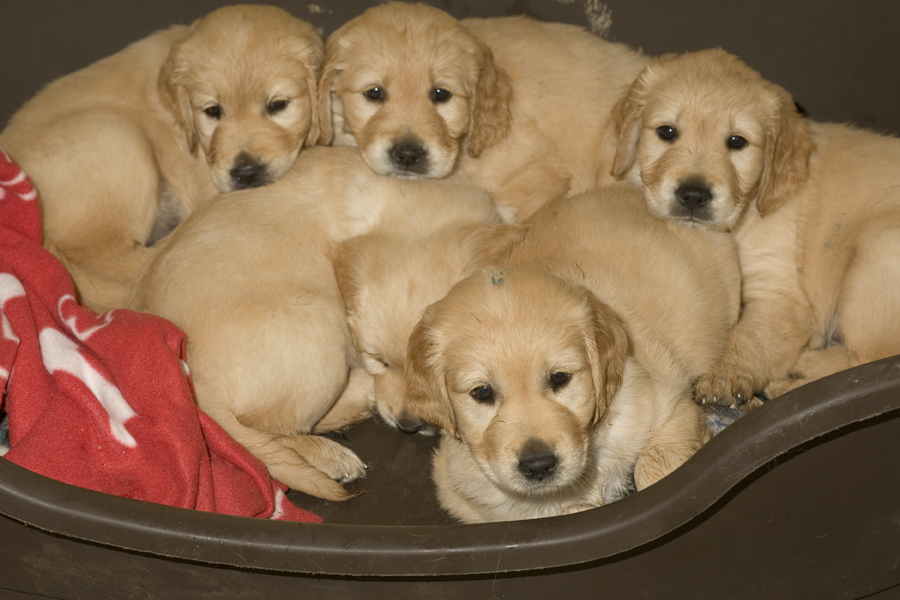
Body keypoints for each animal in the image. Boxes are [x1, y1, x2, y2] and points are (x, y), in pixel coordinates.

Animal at [129, 146, 502, 502]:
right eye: (378, 360)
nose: (409, 426)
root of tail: (189, 374)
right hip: (322, 332)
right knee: (269, 430)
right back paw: (335, 448)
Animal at [404, 185, 740, 524]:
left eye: (560, 378)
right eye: (482, 393)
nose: (538, 465)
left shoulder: (671, 407)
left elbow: (656, 466)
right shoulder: (464, 494)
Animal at [616, 47, 900, 404]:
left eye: (737, 141)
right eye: (667, 132)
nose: (693, 195)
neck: (747, 212)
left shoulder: (779, 292)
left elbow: (750, 337)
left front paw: (724, 375)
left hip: (874, 253)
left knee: (870, 361)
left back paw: (797, 375)